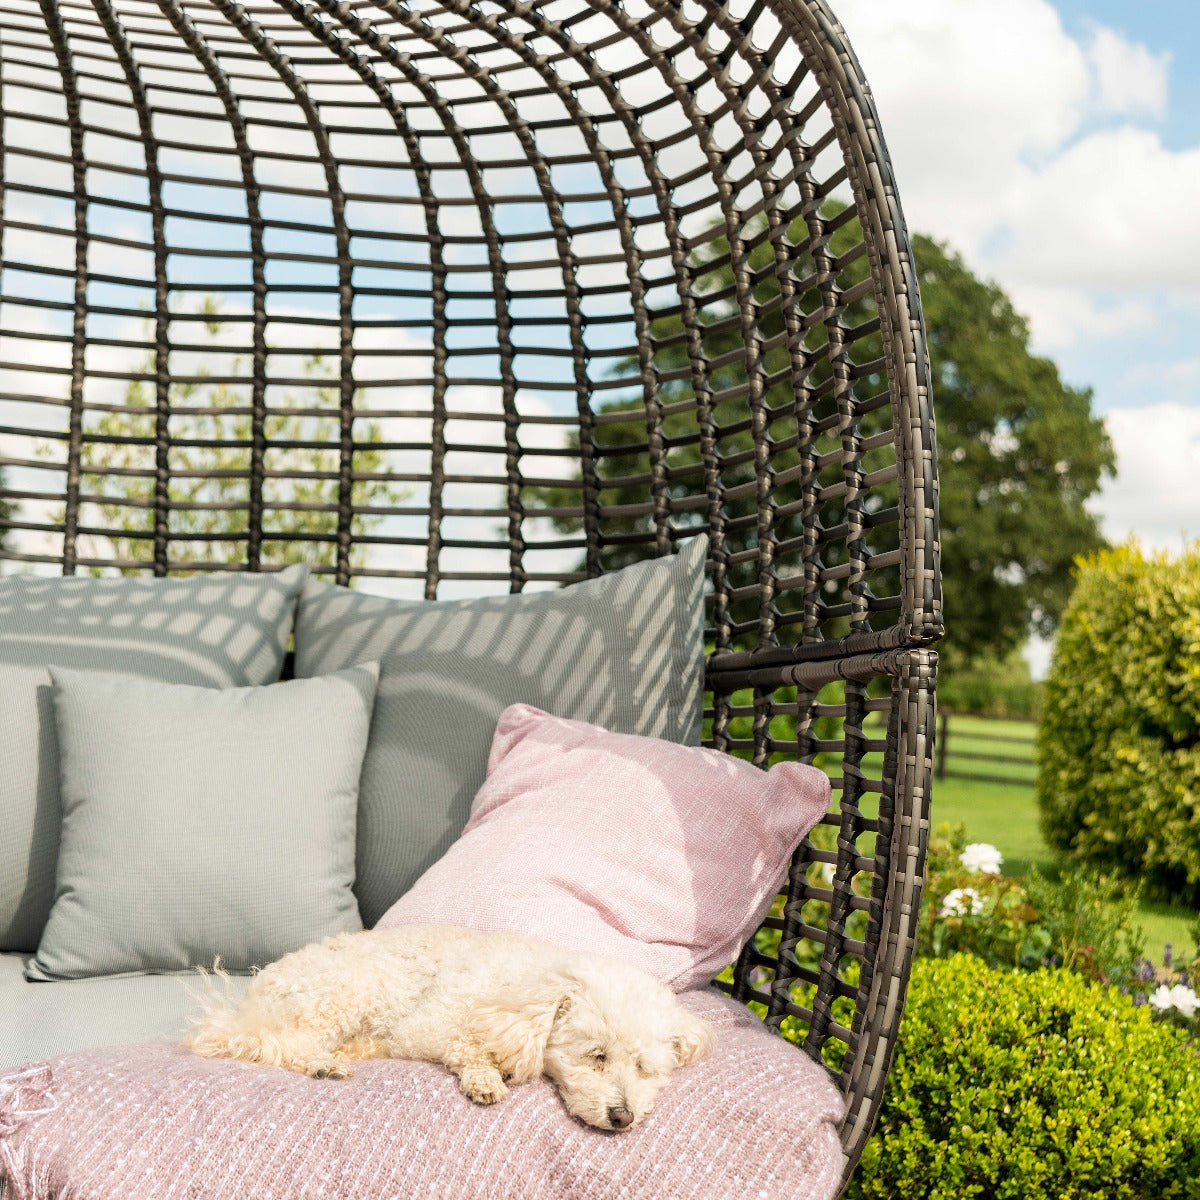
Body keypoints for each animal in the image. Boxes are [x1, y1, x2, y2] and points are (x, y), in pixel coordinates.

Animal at [186, 921, 710, 1128]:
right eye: (596, 1057)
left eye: (644, 1069)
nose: (623, 1119)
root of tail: (251, 998)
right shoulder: (429, 1024)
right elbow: (464, 1046)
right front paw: (485, 1078)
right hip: (343, 992)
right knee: (278, 1043)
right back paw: (321, 1064)